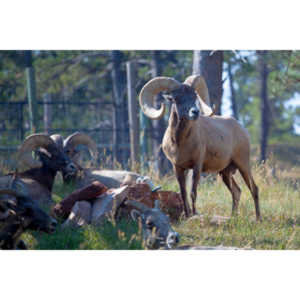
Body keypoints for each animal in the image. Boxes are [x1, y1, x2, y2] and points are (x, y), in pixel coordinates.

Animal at [138, 75, 260, 220]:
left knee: (254, 189)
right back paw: (233, 217)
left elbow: (193, 192)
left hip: (243, 165)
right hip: (225, 172)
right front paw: (186, 216)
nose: (195, 112)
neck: (179, 143)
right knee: (236, 191)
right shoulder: (178, 167)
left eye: (194, 96)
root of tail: (242, 130)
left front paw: (194, 214)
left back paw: (258, 219)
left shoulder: (197, 166)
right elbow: (183, 193)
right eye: (176, 98)